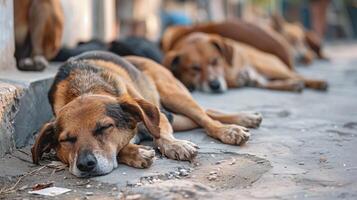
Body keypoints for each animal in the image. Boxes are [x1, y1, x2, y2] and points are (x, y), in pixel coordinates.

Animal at [32, 51, 260, 177]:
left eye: (105, 127)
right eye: (66, 140)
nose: (85, 165)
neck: (84, 88)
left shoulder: (157, 116)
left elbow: (162, 135)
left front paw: (176, 146)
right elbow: (121, 147)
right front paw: (135, 152)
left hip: (172, 94)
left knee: (205, 117)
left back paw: (232, 128)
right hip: (177, 115)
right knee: (204, 114)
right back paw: (244, 119)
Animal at [163, 32, 326, 93]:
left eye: (215, 61)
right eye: (194, 68)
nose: (215, 85)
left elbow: (230, 79)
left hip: (269, 67)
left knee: (297, 76)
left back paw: (317, 83)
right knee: (265, 83)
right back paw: (291, 85)